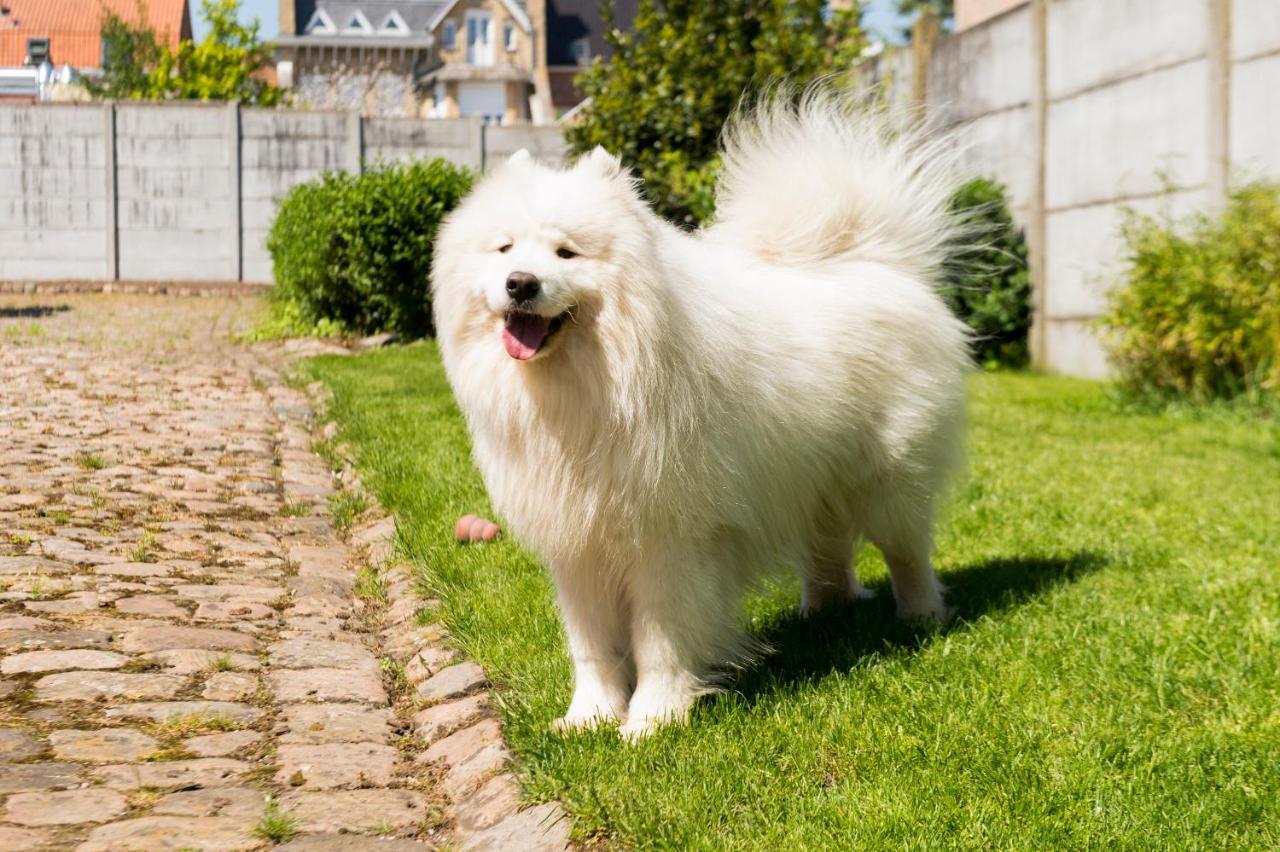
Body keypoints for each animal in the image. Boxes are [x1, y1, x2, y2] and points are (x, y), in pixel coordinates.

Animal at [430, 92, 967, 736]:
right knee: (829, 548)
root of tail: (873, 259)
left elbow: (659, 639)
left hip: (888, 483)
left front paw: (653, 720)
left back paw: (921, 618)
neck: (594, 387)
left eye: (566, 252)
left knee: (907, 552)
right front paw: (589, 718)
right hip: (811, 480)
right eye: (505, 248)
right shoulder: (578, 542)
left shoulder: (670, 538)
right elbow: (592, 646)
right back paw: (822, 612)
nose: (520, 283)